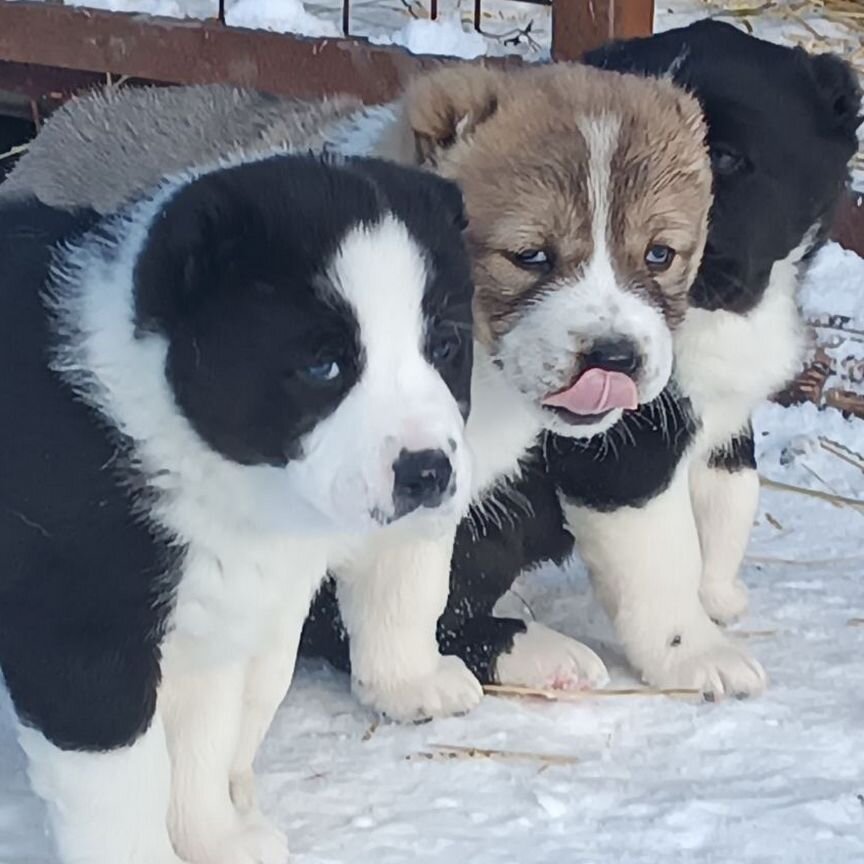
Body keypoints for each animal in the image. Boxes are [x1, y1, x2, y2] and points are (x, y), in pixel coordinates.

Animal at [0, 154, 480, 864]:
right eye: (322, 365)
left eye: (445, 347)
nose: (427, 471)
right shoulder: (82, 645)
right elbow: (120, 789)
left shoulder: (212, 627)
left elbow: (197, 746)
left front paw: (215, 839)